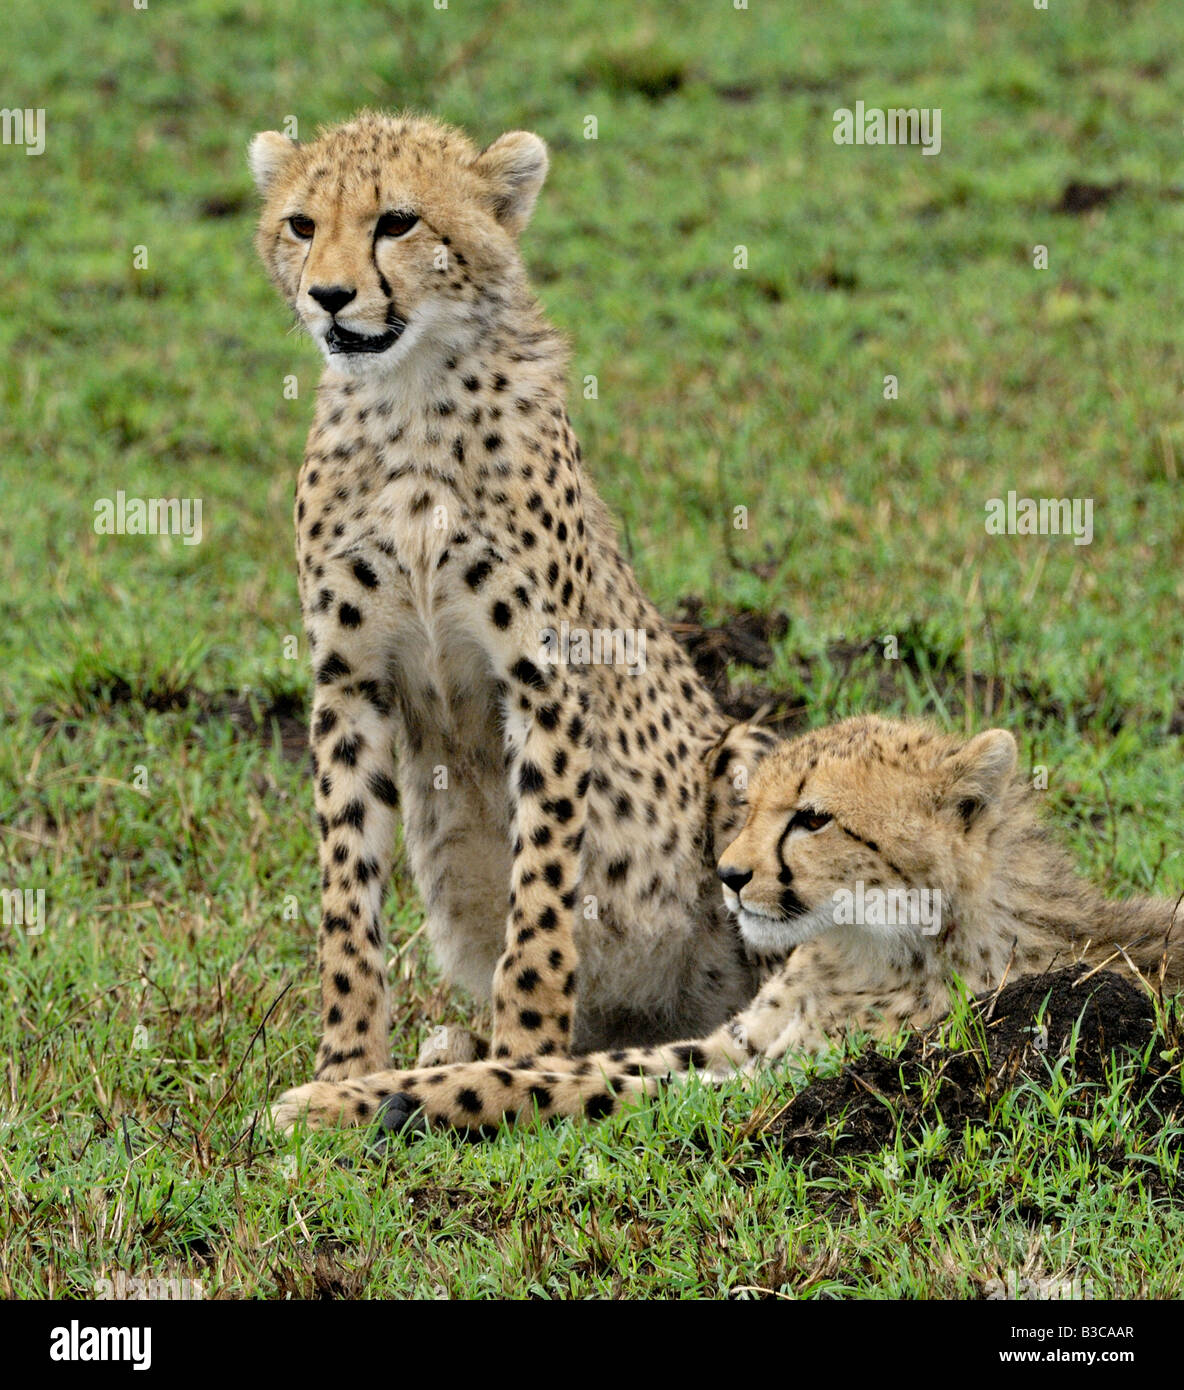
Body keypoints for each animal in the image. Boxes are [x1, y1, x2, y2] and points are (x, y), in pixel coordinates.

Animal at [248, 108, 783, 1100]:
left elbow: (540, 900)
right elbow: (346, 896)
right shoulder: (348, 683)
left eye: (397, 221)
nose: (330, 297)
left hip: (743, 756)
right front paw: (348, 1064)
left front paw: (521, 1060)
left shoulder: (545, 680)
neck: (409, 397)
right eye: (301, 224)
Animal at [270, 717, 1184, 1128]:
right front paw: (359, 1087)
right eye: (749, 803)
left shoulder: (784, 1080)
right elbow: (580, 1061)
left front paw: (332, 1105)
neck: (859, 950)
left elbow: (554, 1082)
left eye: (812, 818)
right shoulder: (736, 1045)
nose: (731, 876)